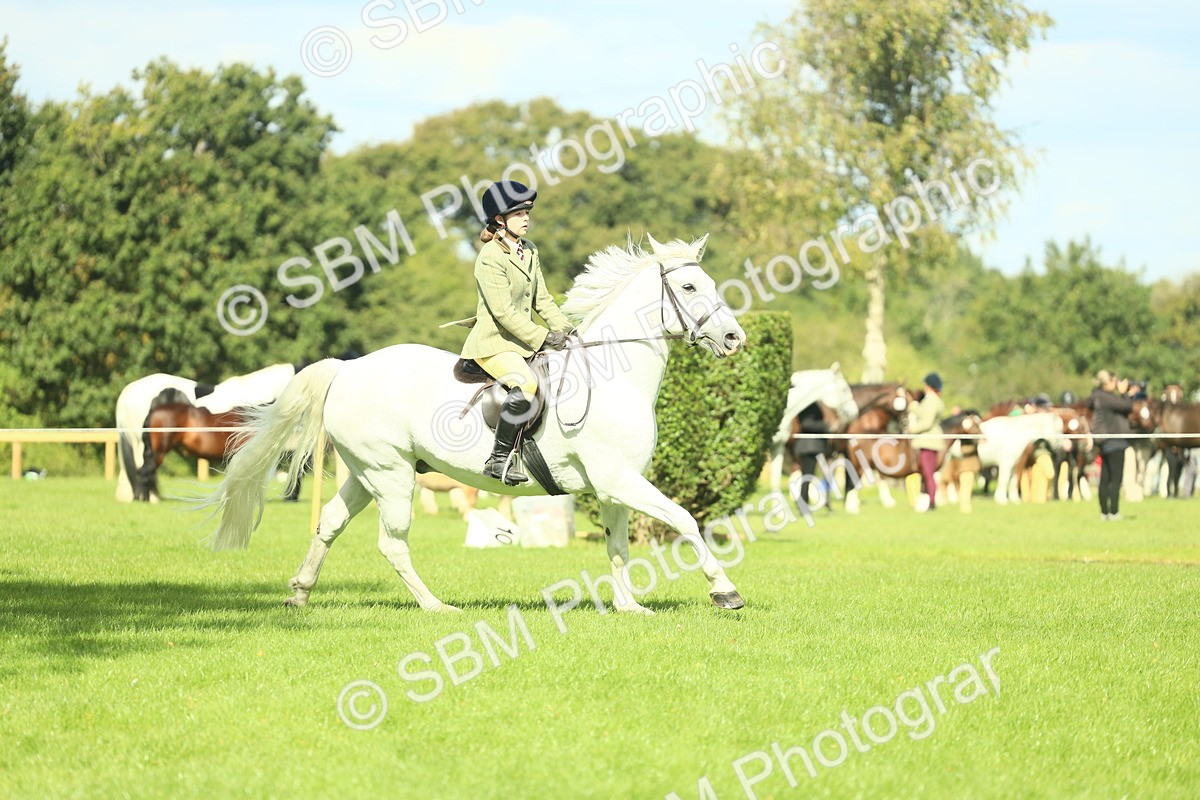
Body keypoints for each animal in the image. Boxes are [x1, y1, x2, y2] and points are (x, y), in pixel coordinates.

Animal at [199, 234, 749, 614]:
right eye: (689, 286)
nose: (733, 339)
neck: (611, 374)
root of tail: (349, 368)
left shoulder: (614, 485)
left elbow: (618, 544)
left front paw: (629, 606)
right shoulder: (619, 479)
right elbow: (685, 519)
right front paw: (725, 591)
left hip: (366, 472)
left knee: (330, 523)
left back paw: (299, 594)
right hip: (392, 475)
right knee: (391, 542)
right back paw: (435, 606)